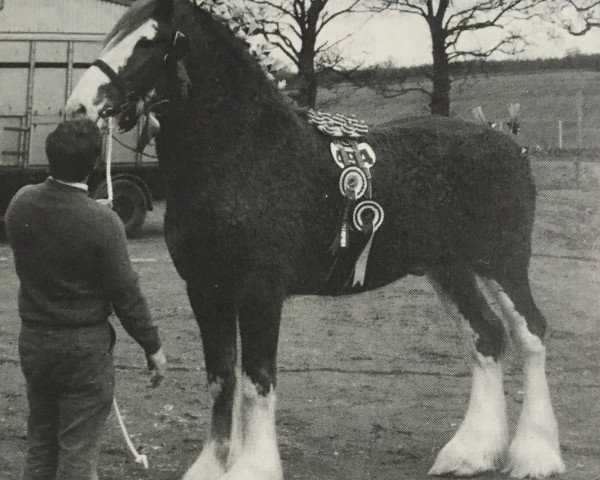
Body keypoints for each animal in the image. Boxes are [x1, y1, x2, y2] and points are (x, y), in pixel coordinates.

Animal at [67, 1, 568, 478]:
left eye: (148, 42)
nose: (78, 108)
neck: (245, 155)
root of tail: (510, 146)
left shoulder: (259, 290)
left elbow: (257, 379)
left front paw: (251, 468)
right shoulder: (206, 289)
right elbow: (221, 377)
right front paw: (210, 466)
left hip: (500, 263)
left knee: (531, 334)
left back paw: (534, 456)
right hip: (450, 269)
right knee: (486, 337)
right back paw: (470, 454)